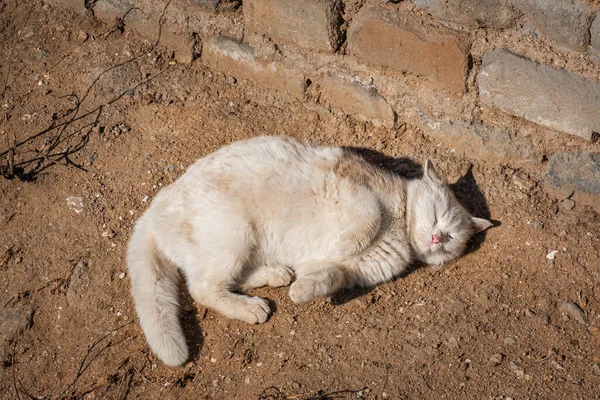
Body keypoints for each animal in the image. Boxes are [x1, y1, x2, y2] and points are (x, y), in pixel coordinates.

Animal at [126, 137, 492, 366]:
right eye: (437, 215)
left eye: (451, 236)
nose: (437, 238)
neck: (402, 233)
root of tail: (156, 207)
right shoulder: (356, 192)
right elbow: (370, 216)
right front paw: (348, 240)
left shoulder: (348, 272)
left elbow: (326, 278)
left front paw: (301, 291)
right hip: (234, 234)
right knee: (202, 288)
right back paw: (250, 308)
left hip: (239, 247)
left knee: (222, 280)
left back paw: (275, 276)